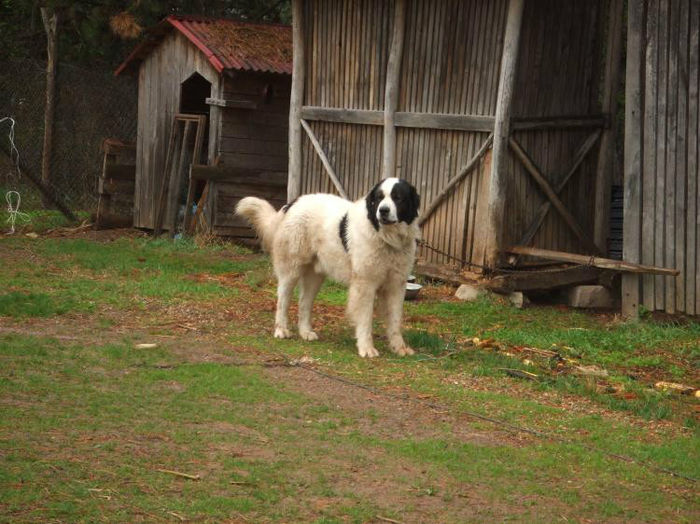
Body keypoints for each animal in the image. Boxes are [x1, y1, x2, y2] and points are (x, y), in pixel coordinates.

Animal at [235, 178, 422, 358]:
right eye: (379, 198)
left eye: (398, 198)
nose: (383, 210)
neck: (387, 239)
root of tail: (293, 203)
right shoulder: (365, 285)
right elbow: (365, 319)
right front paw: (366, 348)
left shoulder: (396, 285)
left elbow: (396, 320)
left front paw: (399, 347)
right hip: (291, 269)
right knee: (283, 299)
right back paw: (281, 330)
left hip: (315, 276)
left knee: (304, 303)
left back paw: (305, 332)